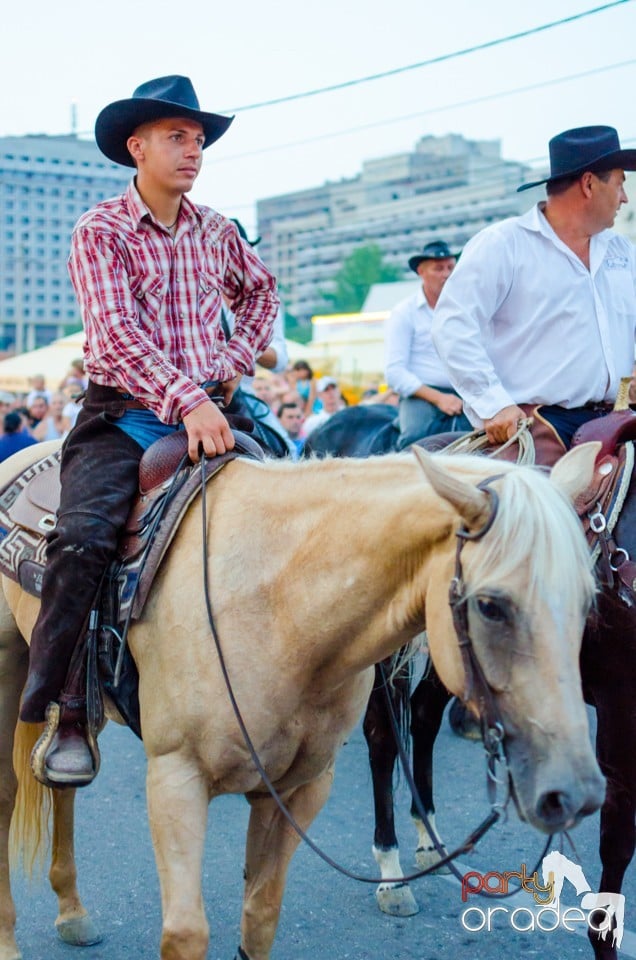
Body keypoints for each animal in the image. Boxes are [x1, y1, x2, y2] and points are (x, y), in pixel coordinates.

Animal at [1, 438, 608, 956]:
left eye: (588, 600)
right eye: (490, 605)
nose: (574, 792)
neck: (281, 607)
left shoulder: (296, 789)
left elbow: (260, 916)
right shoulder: (176, 779)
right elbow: (186, 933)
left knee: (62, 784)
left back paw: (73, 912)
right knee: (9, 794)